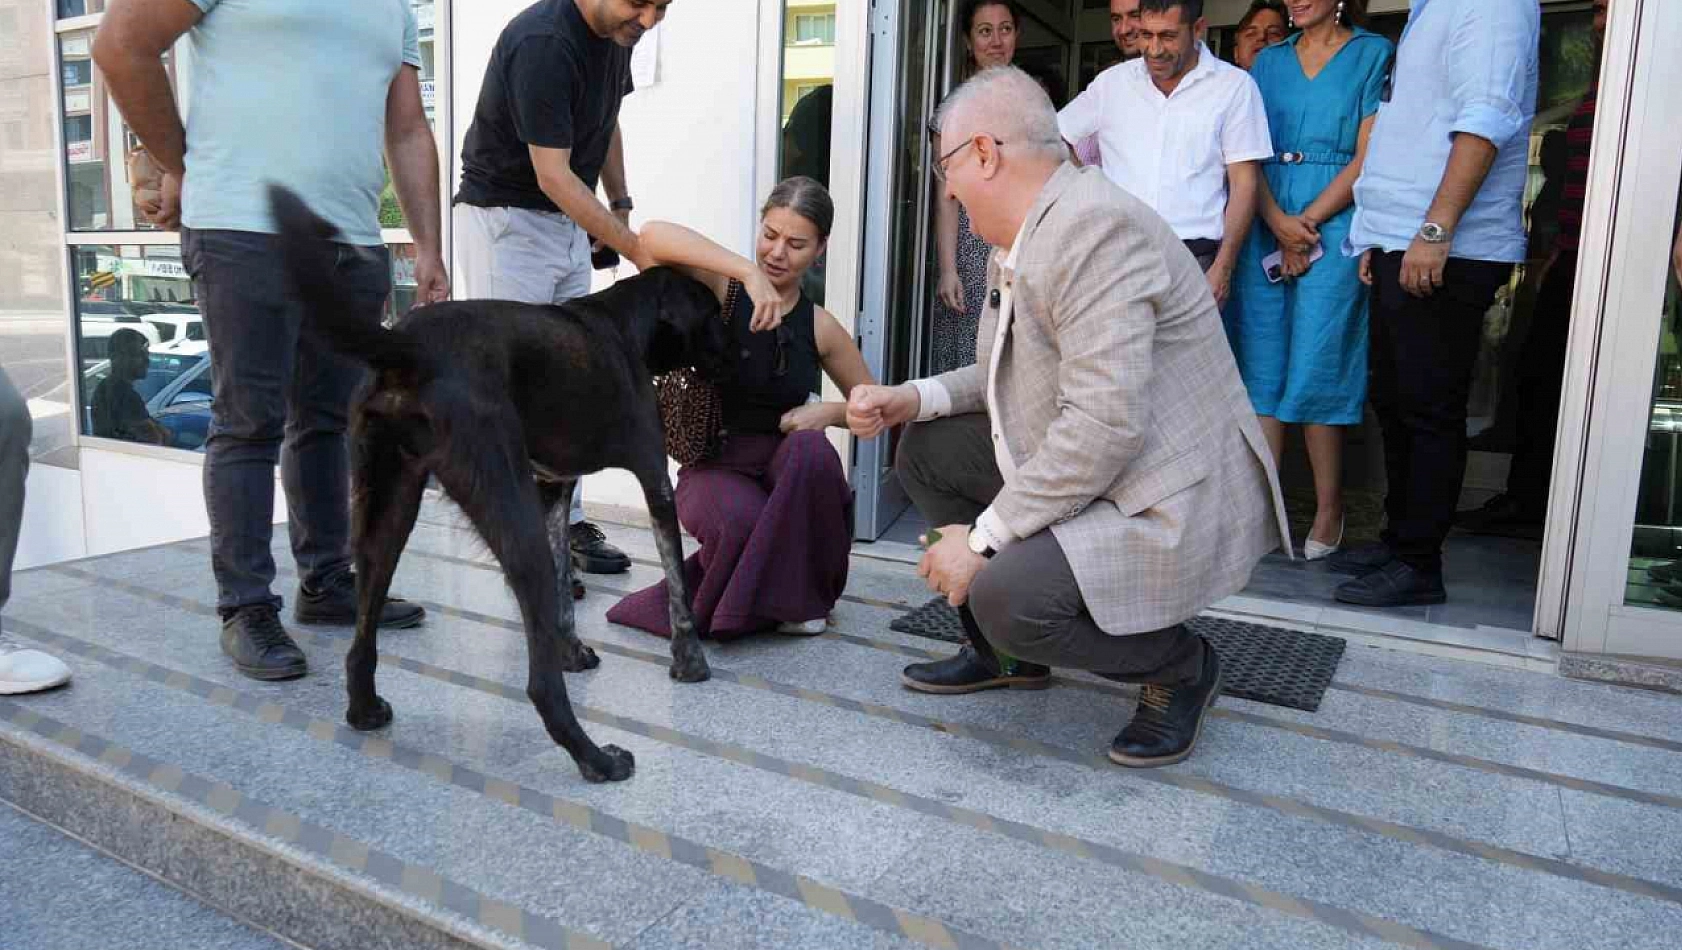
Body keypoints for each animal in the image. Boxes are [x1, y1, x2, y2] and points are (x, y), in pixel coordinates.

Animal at [269, 184, 729, 786]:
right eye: (712, 312)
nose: (738, 350)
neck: (625, 322)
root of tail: (408, 349)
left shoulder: (553, 488)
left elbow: (561, 587)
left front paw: (571, 650)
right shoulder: (654, 479)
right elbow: (676, 582)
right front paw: (689, 660)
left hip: (389, 507)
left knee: (361, 636)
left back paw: (365, 709)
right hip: (505, 505)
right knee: (539, 688)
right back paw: (597, 759)